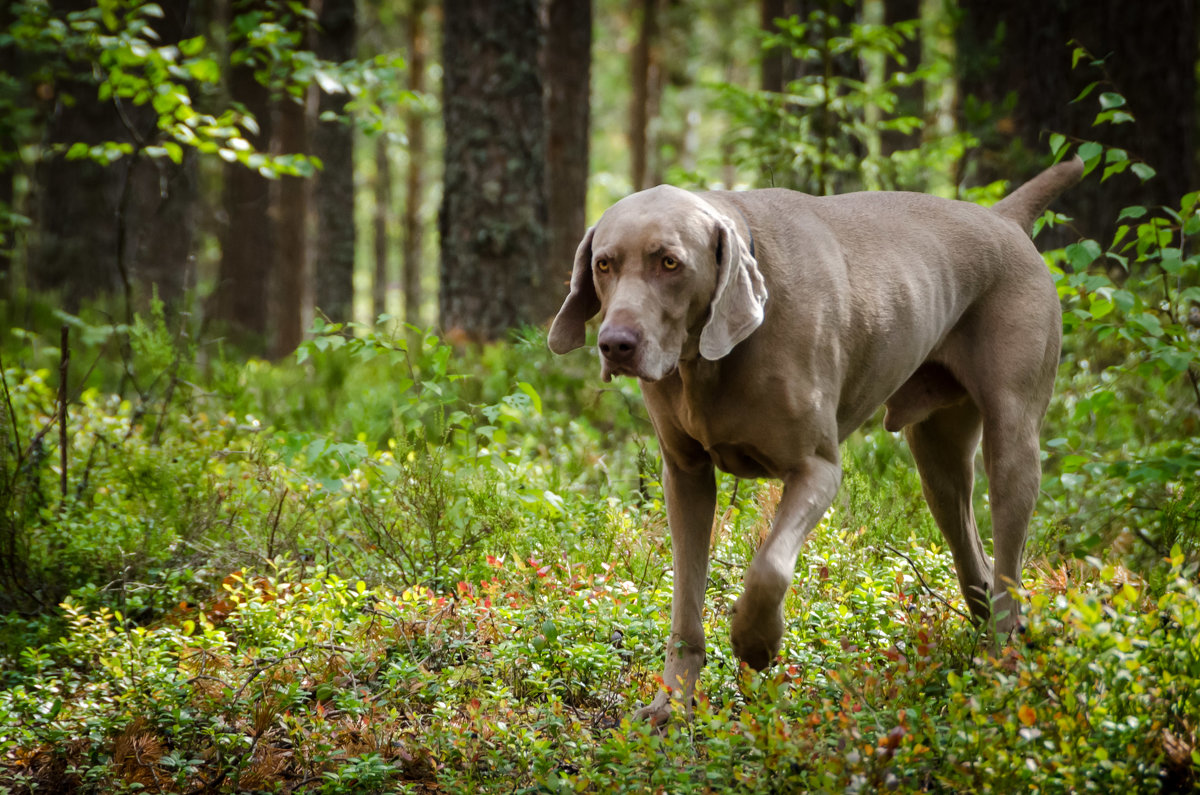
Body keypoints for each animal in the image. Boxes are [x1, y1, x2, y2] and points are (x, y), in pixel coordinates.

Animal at [549, 157, 1084, 730]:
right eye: (604, 265)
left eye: (670, 262)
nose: (615, 345)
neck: (711, 359)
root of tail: (1003, 217)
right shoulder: (685, 475)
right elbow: (686, 604)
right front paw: (670, 705)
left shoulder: (817, 469)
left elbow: (769, 568)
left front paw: (756, 642)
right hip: (938, 459)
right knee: (974, 560)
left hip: (1013, 440)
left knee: (1008, 568)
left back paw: (1003, 671)